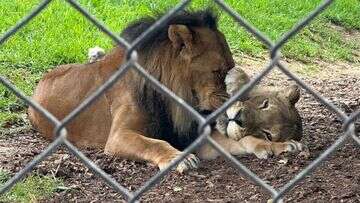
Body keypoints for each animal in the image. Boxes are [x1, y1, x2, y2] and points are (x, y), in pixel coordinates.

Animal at [28, 9, 304, 173]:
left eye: (230, 70)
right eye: (218, 72)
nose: (234, 108)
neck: (175, 99)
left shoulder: (194, 137)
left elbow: (243, 141)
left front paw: (281, 145)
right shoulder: (118, 136)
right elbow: (154, 143)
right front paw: (180, 159)